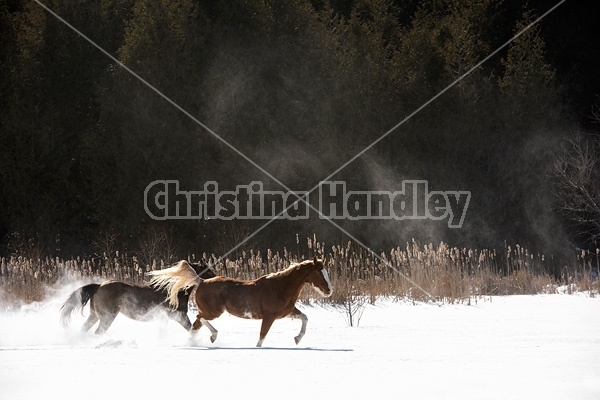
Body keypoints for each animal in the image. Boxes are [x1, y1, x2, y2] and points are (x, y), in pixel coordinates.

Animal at [58, 260, 217, 334]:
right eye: (207, 269)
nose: (217, 277)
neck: (174, 292)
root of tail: (99, 286)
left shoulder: (165, 318)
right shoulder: (179, 316)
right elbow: (192, 330)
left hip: (95, 315)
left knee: (85, 329)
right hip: (107, 316)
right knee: (98, 332)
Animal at [147, 258, 330, 346]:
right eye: (320, 273)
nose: (329, 290)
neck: (280, 287)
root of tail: (201, 281)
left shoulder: (286, 312)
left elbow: (305, 317)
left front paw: (297, 339)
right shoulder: (269, 316)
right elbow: (262, 336)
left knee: (195, 325)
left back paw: (196, 342)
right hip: (214, 311)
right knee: (200, 318)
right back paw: (213, 336)